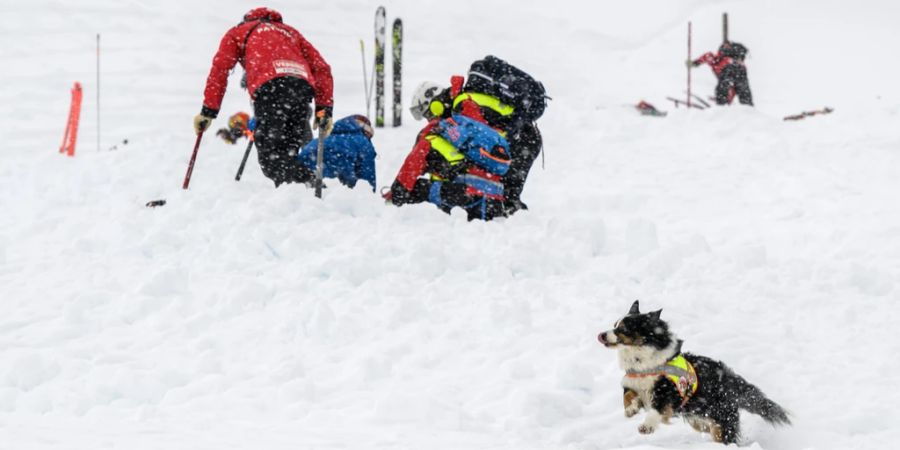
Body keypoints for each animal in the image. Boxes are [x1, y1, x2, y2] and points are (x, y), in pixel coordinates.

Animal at [600, 300, 792, 444]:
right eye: (614, 324)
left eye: (623, 329)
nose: (602, 334)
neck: (642, 359)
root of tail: (729, 381)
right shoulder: (633, 383)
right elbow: (628, 397)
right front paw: (631, 410)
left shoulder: (666, 392)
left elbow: (655, 411)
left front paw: (646, 427)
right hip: (700, 419)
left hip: (721, 419)